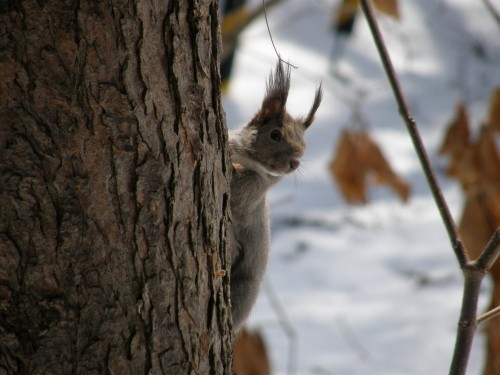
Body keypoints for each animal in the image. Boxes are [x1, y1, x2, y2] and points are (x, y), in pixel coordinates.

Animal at [228, 60, 322, 330]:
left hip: (243, 287)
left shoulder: (253, 192)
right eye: (275, 134)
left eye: (305, 145)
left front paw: (232, 167)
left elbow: (238, 195)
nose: (295, 162)